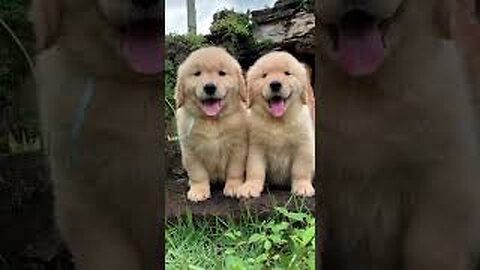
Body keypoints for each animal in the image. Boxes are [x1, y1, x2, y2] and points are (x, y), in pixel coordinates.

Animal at [174, 47, 248, 202]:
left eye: (222, 73)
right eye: (197, 73)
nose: (209, 87)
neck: (212, 121)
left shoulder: (238, 147)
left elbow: (234, 170)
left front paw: (234, 186)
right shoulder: (190, 150)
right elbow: (198, 173)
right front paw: (198, 190)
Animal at [237, 51, 316, 198]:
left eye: (287, 73)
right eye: (264, 75)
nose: (275, 84)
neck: (278, 121)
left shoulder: (304, 146)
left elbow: (300, 169)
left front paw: (302, 187)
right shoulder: (256, 147)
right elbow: (255, 170)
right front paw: (250, 186)